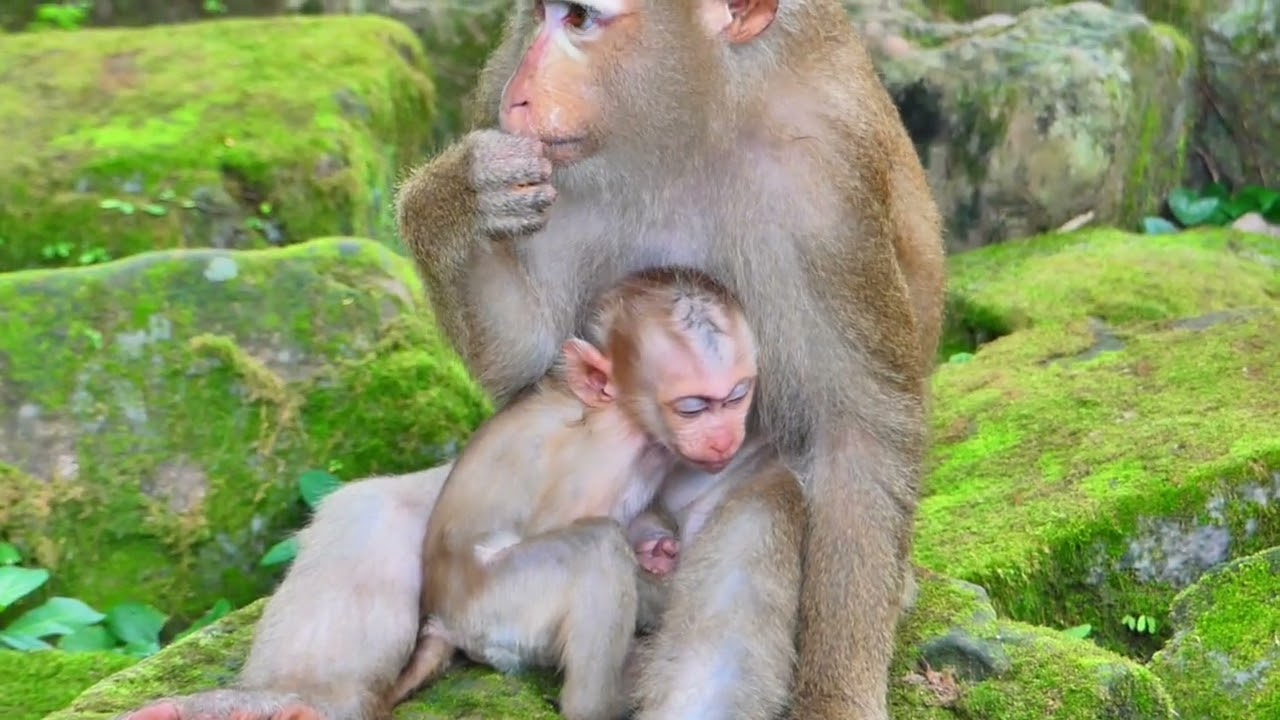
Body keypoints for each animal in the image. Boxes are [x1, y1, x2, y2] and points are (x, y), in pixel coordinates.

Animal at [385, 267, 761, 719]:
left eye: (738, 395)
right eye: (694, 407)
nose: (724, 439)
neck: (632, 424)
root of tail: (439, 618)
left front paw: (657, 548)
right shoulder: (597, 464)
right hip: (496, 606)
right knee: (597, 546)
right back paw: (600, 702)